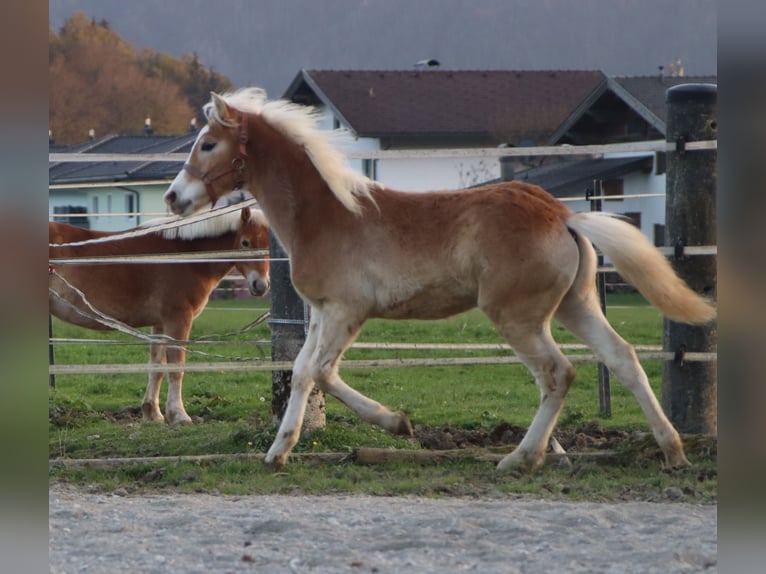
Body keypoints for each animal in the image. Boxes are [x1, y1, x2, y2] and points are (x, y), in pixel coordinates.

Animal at [164, 88, 720, 470]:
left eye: (208, 144)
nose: (173, 197)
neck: (329, 215)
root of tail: (563, 214)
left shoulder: (346, 311)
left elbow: (320, 373)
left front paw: (396, 423)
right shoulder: (322, 312)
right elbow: (302, 373)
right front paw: (279, 453)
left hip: (518, 317)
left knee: (557, 373)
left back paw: (523, 457)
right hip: (575, 305)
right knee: (622, 359)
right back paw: (671, 451)